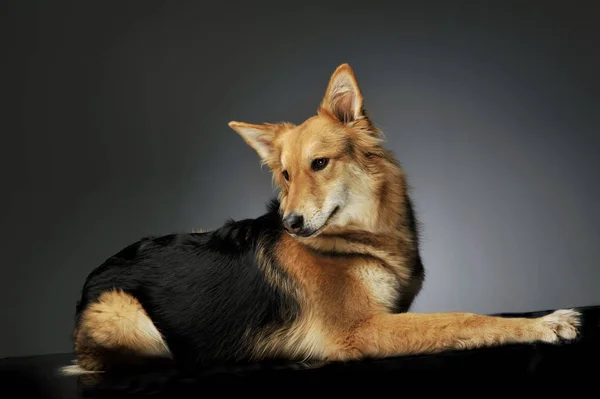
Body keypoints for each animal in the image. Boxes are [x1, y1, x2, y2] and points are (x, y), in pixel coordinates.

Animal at [62, 64, 580, 376]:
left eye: (320, 164)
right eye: (286, 174)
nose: (290, 222)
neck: (357, 240)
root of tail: (91, 277)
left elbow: (473, 315)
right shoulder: (361, 331)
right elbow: (464, 319)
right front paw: (545, 324)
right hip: (126, 314)